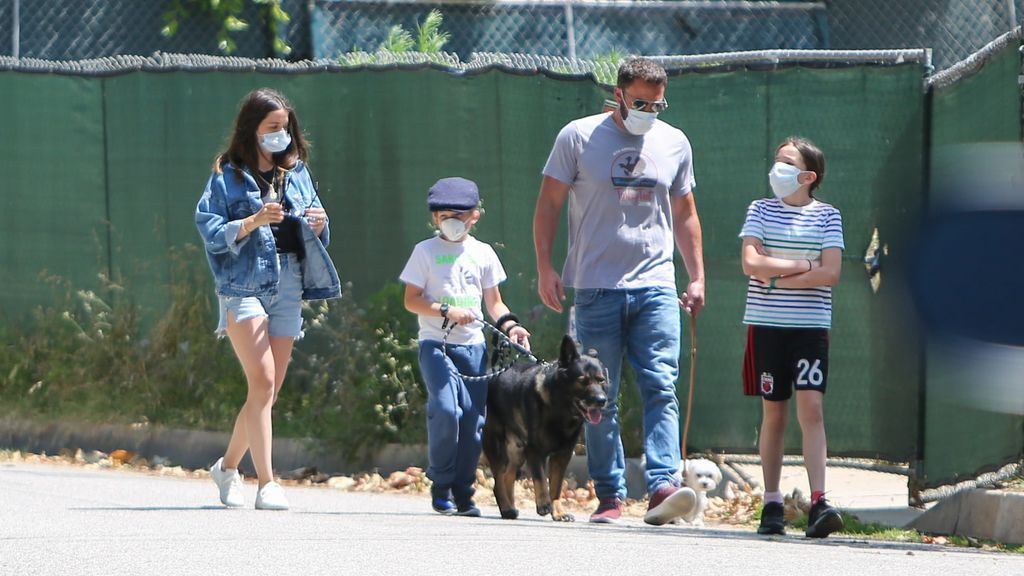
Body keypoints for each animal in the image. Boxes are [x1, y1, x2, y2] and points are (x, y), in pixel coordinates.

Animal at [481, 334, 602, 518]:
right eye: (583, 381)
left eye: (602, 380)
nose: (602, 400)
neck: (559, 408)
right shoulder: (534, 450)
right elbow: (540, 479)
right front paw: (544, 504)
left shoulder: (562, 455)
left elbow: (556, 486)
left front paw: (558, 511)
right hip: (495, 444)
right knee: (498, 481)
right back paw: (507, 508)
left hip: (517, 450)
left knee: (507, 476)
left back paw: (510, 507)